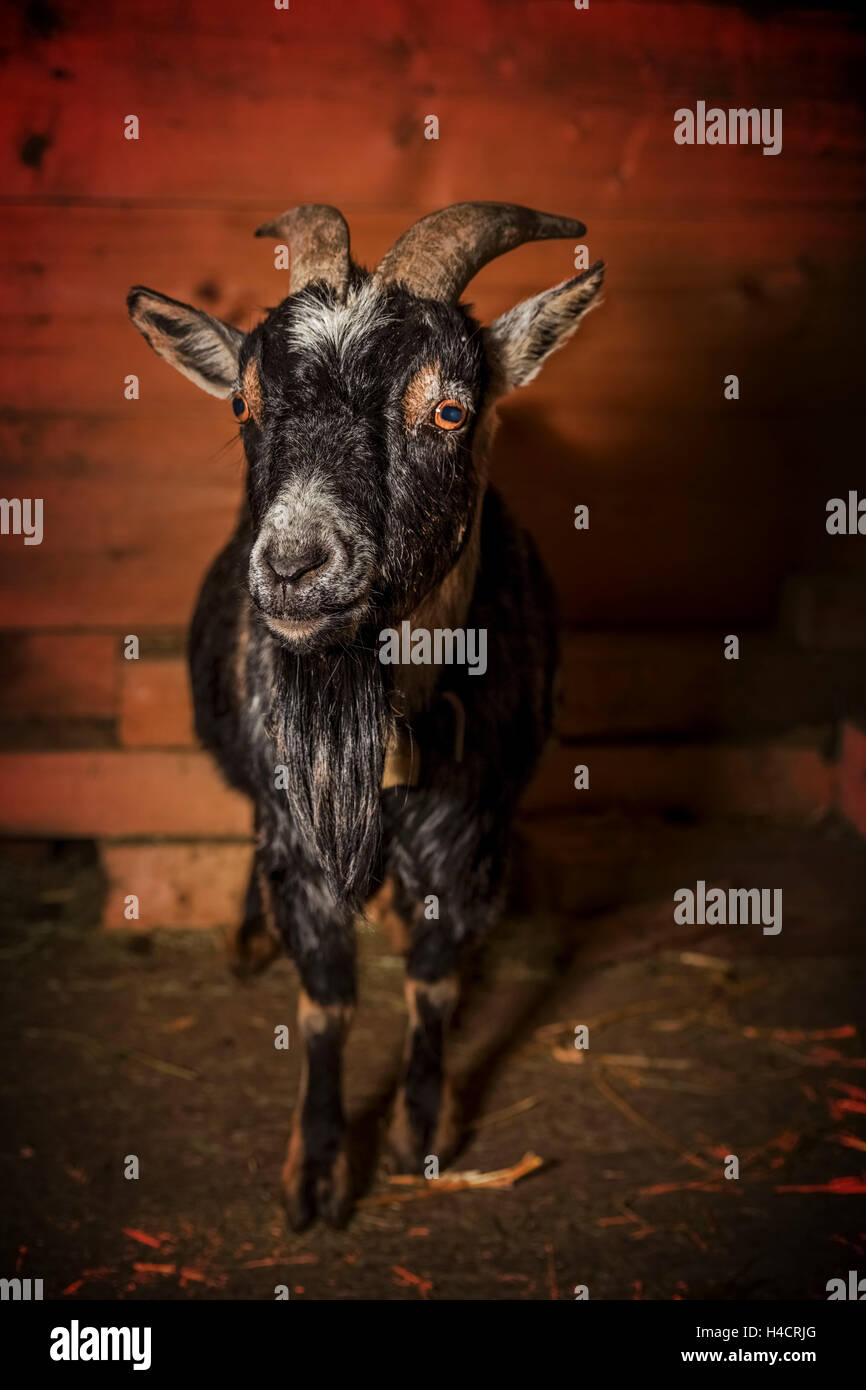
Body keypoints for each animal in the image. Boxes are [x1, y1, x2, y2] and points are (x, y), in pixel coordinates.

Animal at [127, 202, 604, 1228]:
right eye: (243, 406)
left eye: (450, 409)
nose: (295, 564)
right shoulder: (299, 837)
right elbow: (328, 1003)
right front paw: (315, 1171)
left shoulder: (475, 835)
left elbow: (434, 982)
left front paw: (420, 1127)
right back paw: (246, 935)